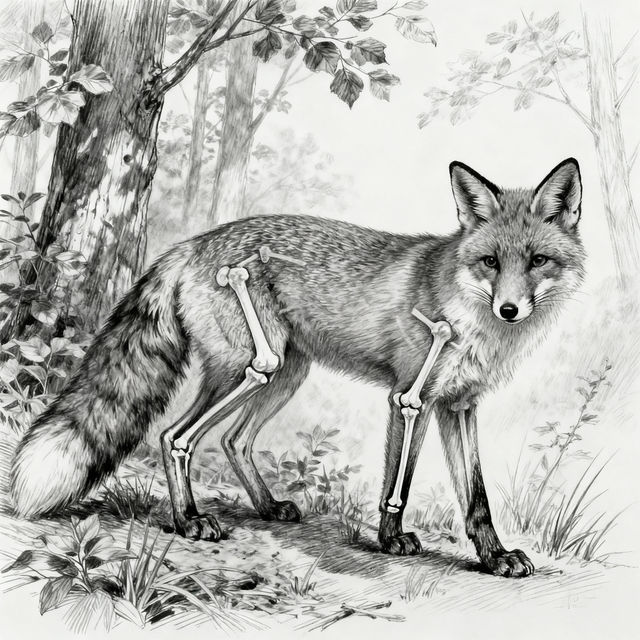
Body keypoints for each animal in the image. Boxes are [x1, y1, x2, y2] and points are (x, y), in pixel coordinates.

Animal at [10, 158, 584, 578]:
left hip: (287, 375)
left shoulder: (460, 406)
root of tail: (192, 243)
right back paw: (189, 519)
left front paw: (495, 557)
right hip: (248, 366)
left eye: (537, 261)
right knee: (175, 435)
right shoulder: (409, 397)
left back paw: (266, 507)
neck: (472, 321)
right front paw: (391, 539)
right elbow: (395, 483)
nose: (509, 309)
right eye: (491, 262)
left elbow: (476, 497)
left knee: (234, 440)